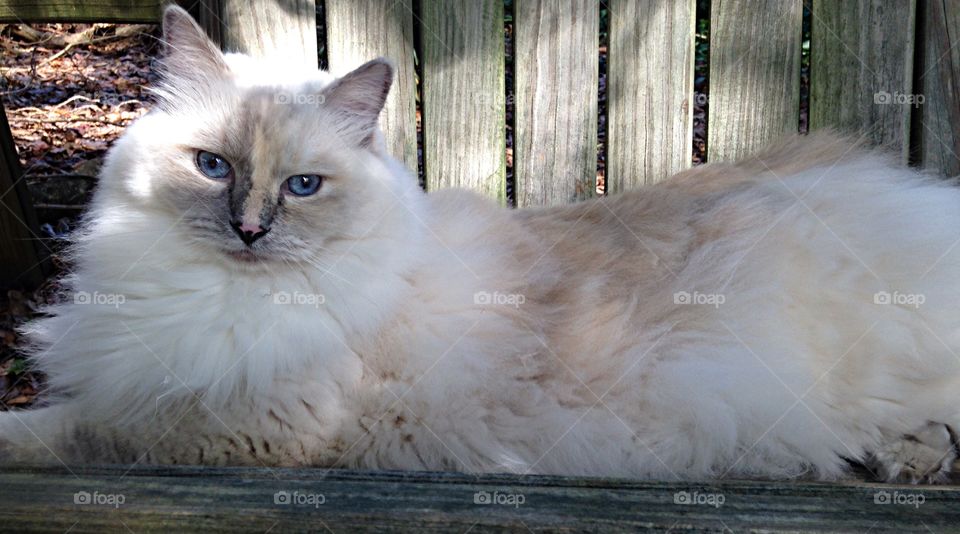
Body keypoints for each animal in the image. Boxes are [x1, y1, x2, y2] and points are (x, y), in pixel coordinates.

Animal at [1, 6, 960, 484]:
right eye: (212, 167)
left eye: (303, 187)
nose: (249, 231)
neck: (216, 297)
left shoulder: (228, 427)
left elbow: (65, 431)